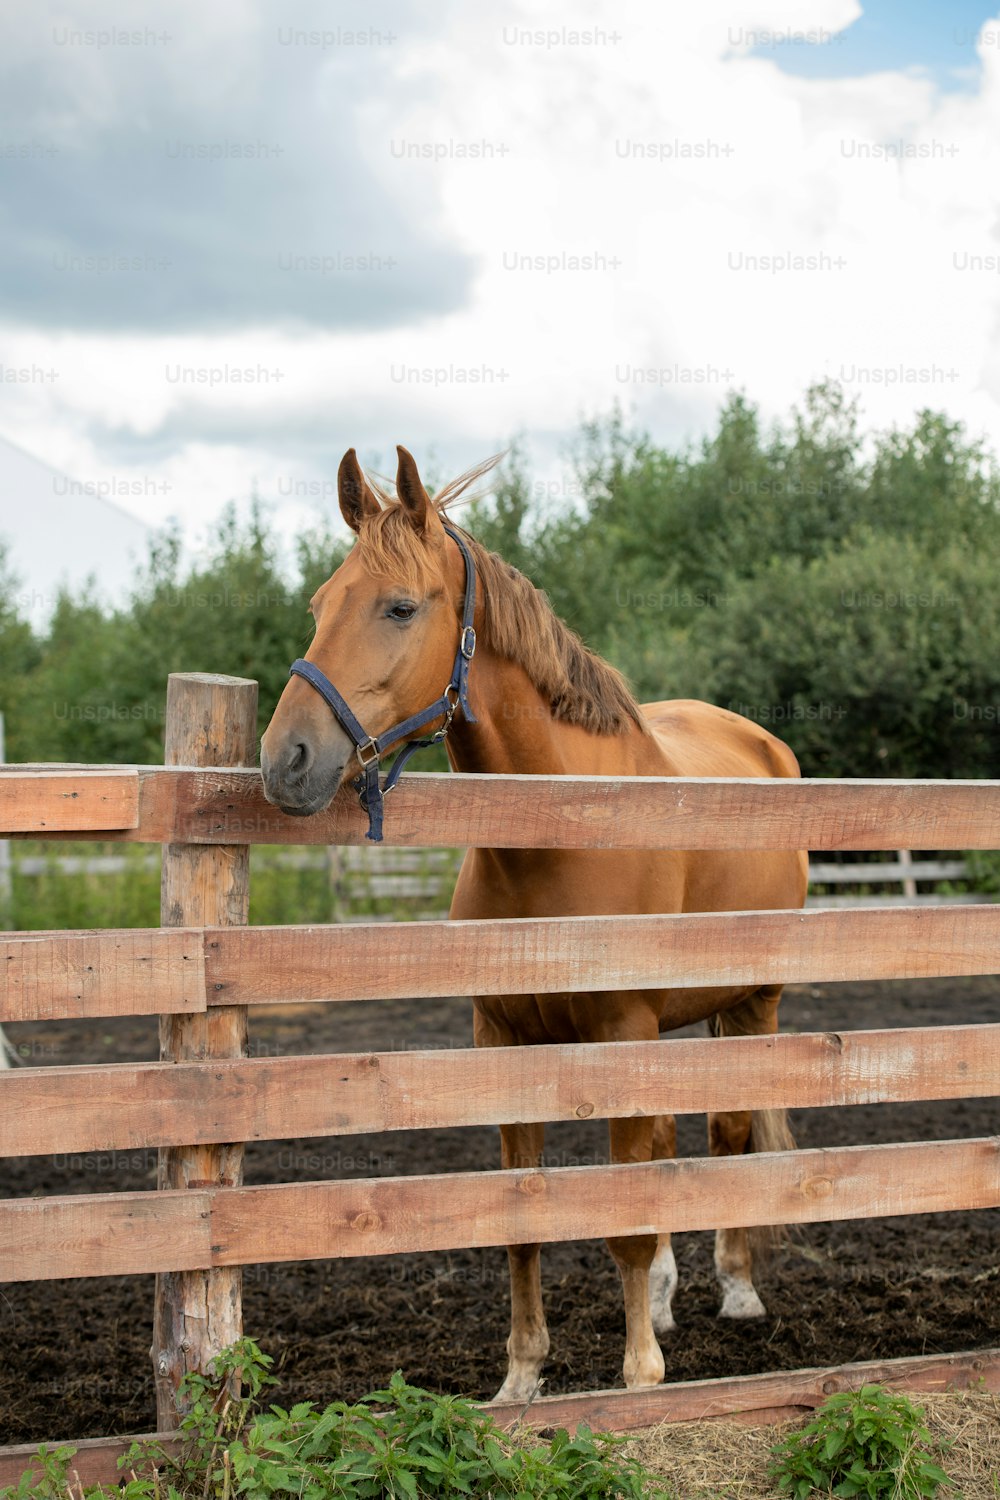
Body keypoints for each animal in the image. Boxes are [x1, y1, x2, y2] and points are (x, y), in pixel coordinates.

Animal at [262, 438, 809, 1398]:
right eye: (321, 604)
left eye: (400, 606)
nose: (285, 760)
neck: (556, 834)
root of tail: (762, 746)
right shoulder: (504, 1041)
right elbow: (524, 1220)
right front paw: (521, 1378)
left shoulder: (624, 1032)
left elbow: (625, 1219)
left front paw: (639, 1374)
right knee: (672, 1146)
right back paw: (669, 1296)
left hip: (754, 1002)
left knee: (730, 1131)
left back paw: (737, 1289)